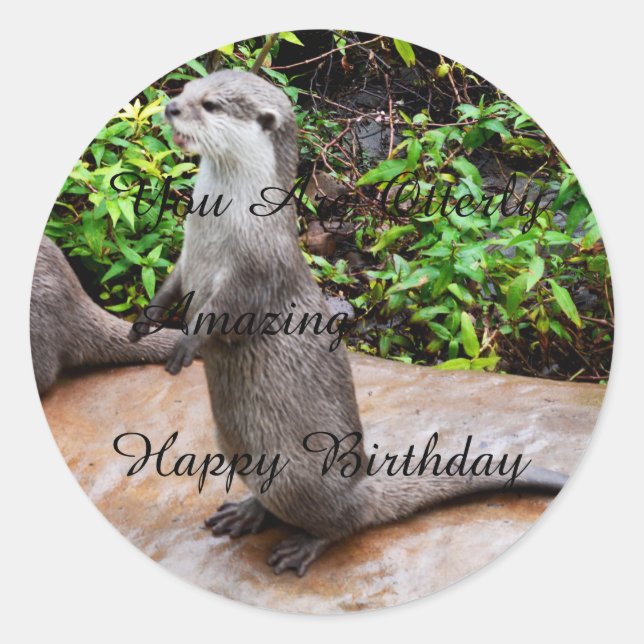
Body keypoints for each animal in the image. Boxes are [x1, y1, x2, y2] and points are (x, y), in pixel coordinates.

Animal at [129, 70, 568, 576]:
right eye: (187, 89)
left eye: (211, 105)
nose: (171, 108)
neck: (220, 227)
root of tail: (361, 486)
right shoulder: (187, 257)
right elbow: (171, 285)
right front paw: (145, 323)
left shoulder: (256, 270)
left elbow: (225, 314)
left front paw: (186, 344)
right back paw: (246, 512)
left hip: (299, 477)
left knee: (343, 524)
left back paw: (302, 546)